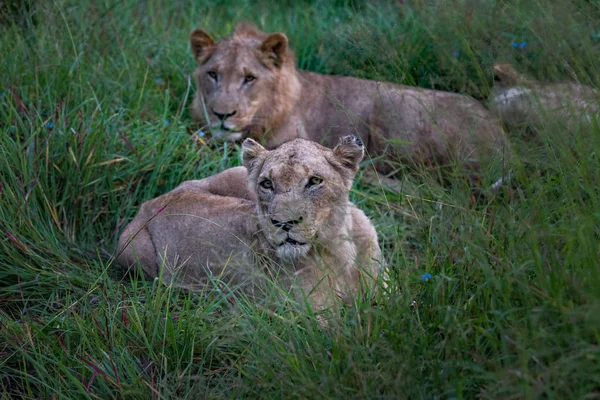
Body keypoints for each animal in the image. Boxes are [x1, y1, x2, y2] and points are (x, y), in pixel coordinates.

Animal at [115, 136, 382, 314]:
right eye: (267, 184)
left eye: (315, 181)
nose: (283, 223)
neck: (340, 249)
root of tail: (149, 203)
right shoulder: (309, 320)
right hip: (135, 252)